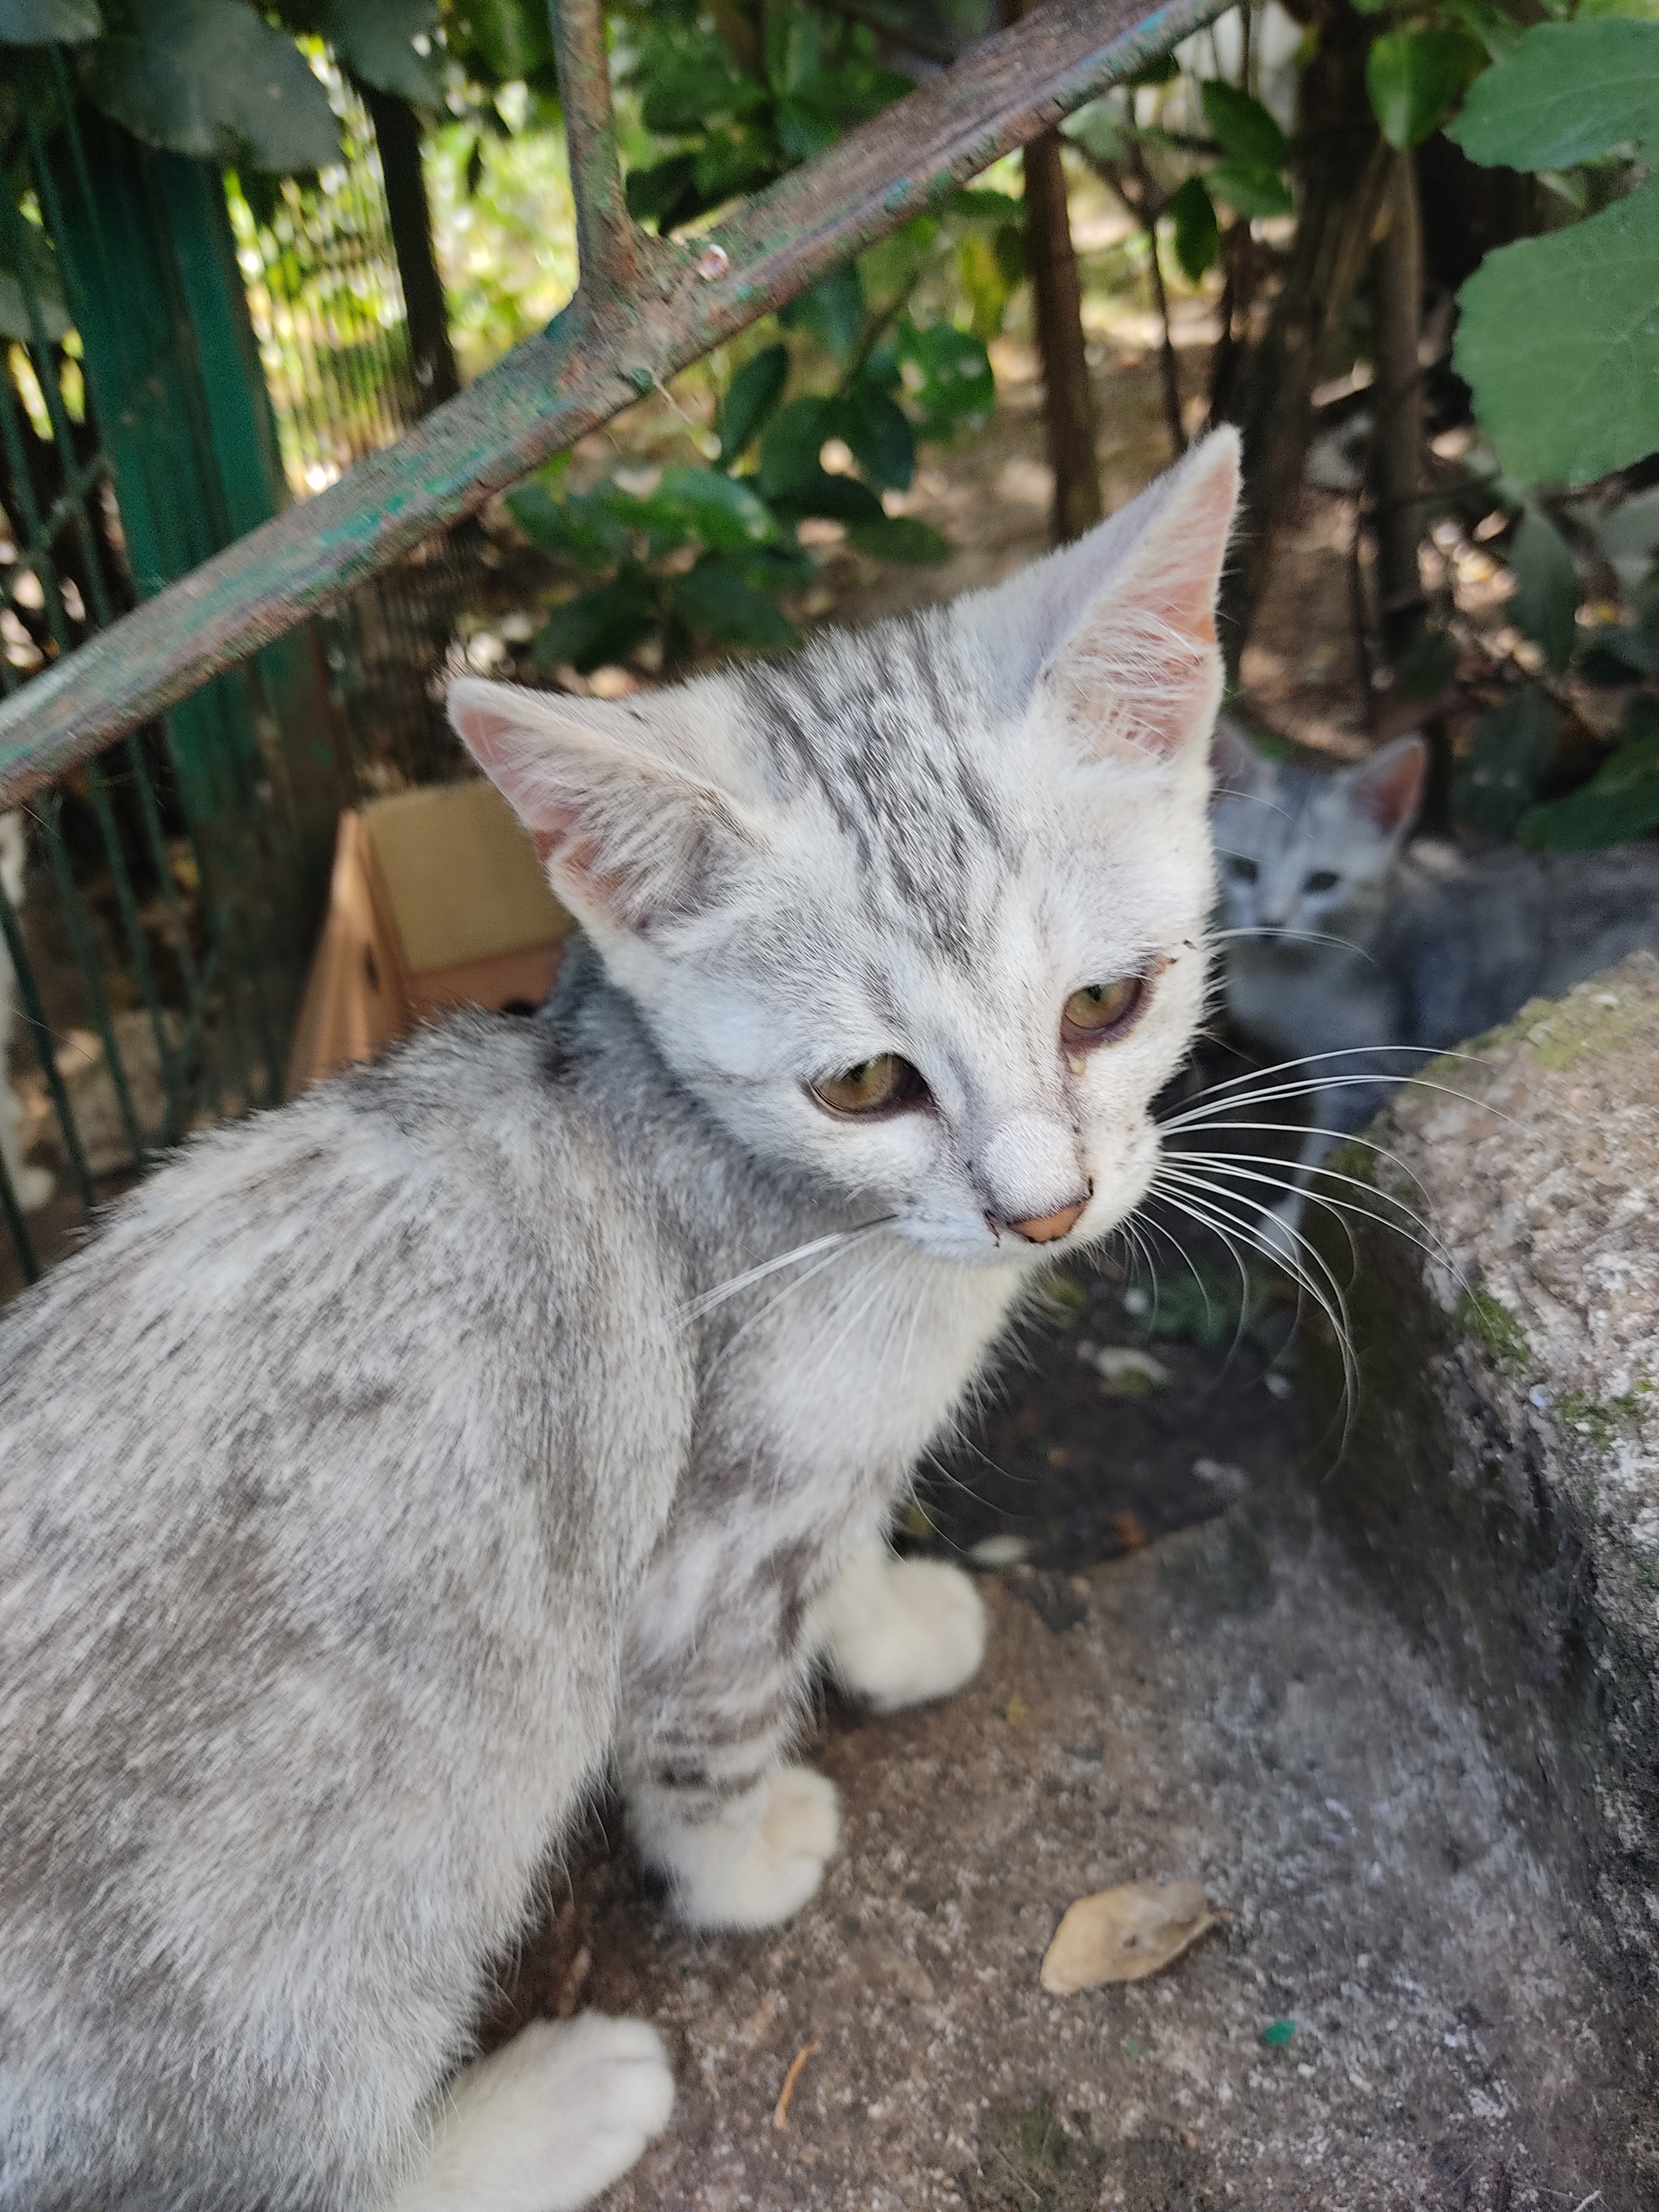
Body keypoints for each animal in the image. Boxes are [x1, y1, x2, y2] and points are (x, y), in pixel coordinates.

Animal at [0, 427, 1247, 2212]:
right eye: (863, 1084)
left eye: (1104, 1003)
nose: (1044, 1207)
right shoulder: (699, 1551)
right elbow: (708, 1716)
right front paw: (742, 1857)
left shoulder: (809, 1471)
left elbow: (838, 1549)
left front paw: (882, 1620)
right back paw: (552, 2105)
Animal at [1212, 716, 1659, 1238]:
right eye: (1243, 870)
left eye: (1323, 882)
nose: (1270, 922)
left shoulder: (1371, 1072)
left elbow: (1322, 1153)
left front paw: (1284, 1224)